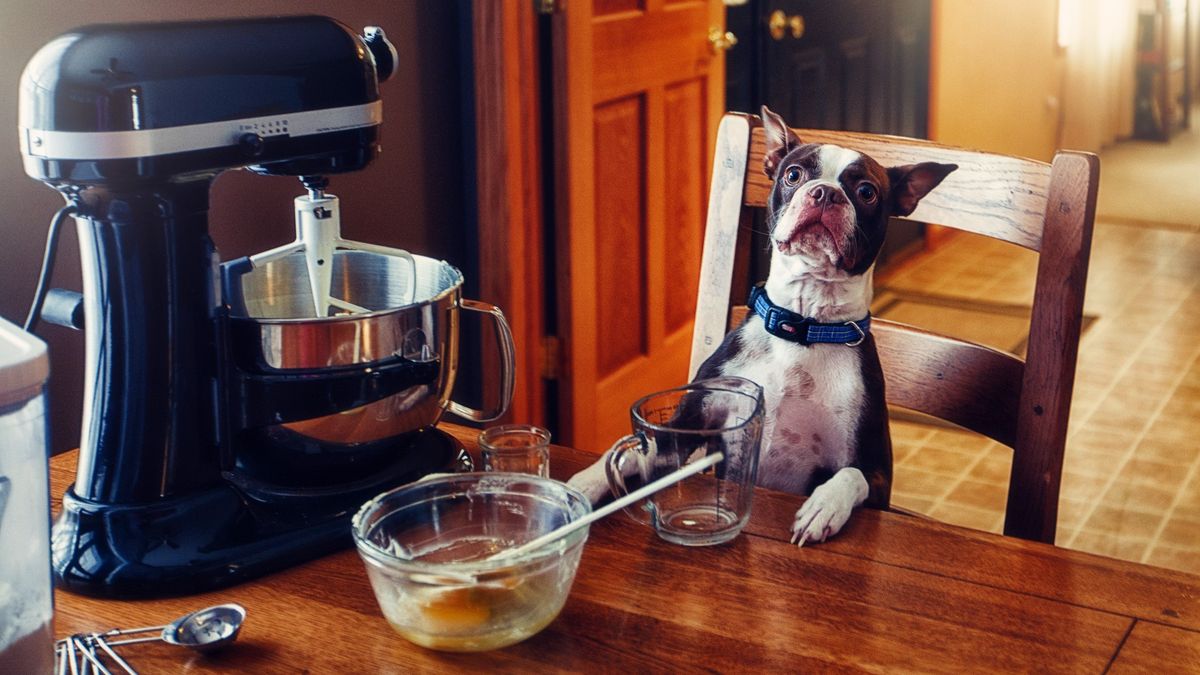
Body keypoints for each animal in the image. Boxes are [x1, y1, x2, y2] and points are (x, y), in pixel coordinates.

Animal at [568, 106, 955, 547]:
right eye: (794, 174)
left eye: (867, 192)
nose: (825, 193)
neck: (802, 327)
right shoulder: (690, 422)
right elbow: (636, 450)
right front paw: (584, 482)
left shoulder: (876, 472)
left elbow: (849, 476)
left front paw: (823, 507)